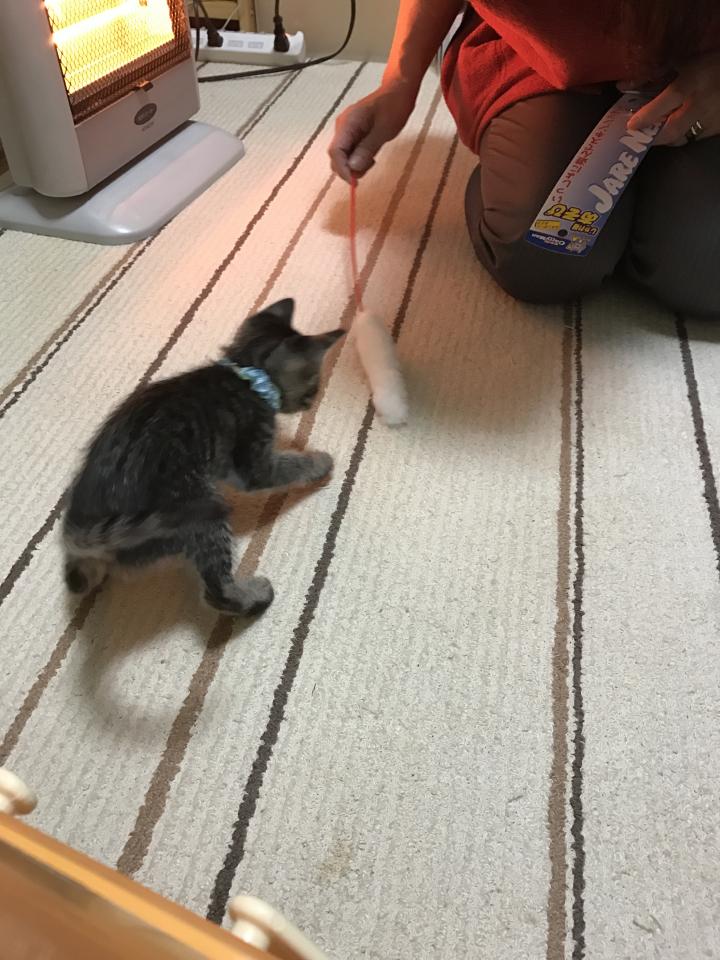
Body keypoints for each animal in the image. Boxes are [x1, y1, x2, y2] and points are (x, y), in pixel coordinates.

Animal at [63, 298, 344, 617]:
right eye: (314, 382)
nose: (313, 399)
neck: (247, 375)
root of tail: (84, 528)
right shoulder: (254, 464)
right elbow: (292, 465)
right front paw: (321, 461)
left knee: (78, 577)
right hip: (201, 510)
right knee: (216, 592)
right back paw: (254, 596)